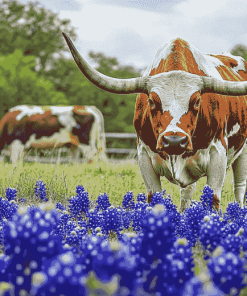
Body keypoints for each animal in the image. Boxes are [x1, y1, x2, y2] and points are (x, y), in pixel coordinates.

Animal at [63, 32, 247, 212]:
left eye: (196, 101)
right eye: (151, 101)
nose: (174, 141)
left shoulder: (218, 153)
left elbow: (213, 200)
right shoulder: (144, 155)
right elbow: (155, 197)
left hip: (243, 152)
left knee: (239, 187)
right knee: (188, 190)